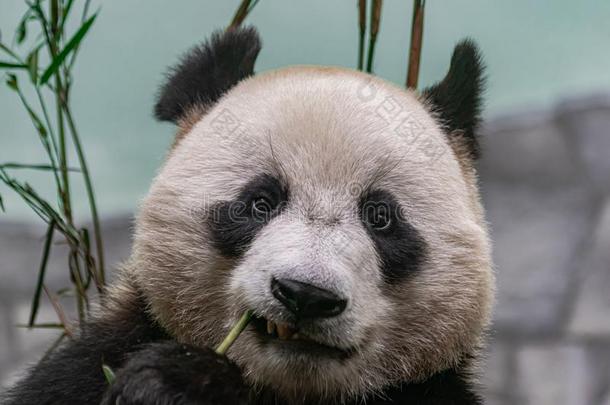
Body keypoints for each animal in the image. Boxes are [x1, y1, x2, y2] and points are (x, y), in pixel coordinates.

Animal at [3, 26, 494, 402]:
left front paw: (176, 383)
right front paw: (169, 385)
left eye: (381, 217)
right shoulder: (94, 360)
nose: (306, 294)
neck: (282, 390)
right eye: (260, 203)